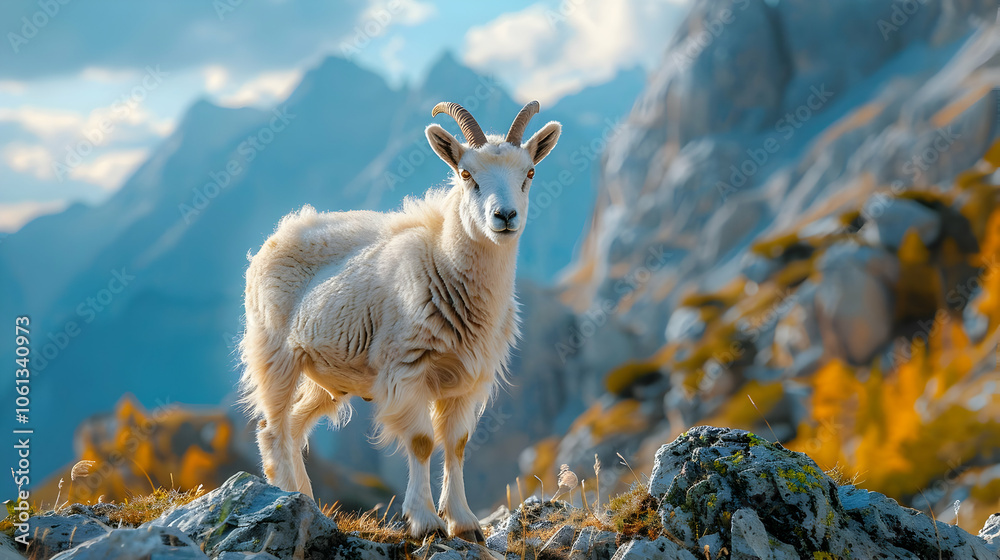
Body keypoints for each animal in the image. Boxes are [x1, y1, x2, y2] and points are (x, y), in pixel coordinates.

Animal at [239, 101, 561, 542]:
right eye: (466, 174)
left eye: (529, 173)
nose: (505, 216)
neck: (442, 262)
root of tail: (278, 234)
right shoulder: (407, 369)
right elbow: (423, 442)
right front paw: (425, 522)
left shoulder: (468, 380)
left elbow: (457, 444)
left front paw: (464, 522)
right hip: (274, 353)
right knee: (271, 430)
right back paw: (289, 495)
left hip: (326, 375)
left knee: (293, 428)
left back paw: (307, 497)